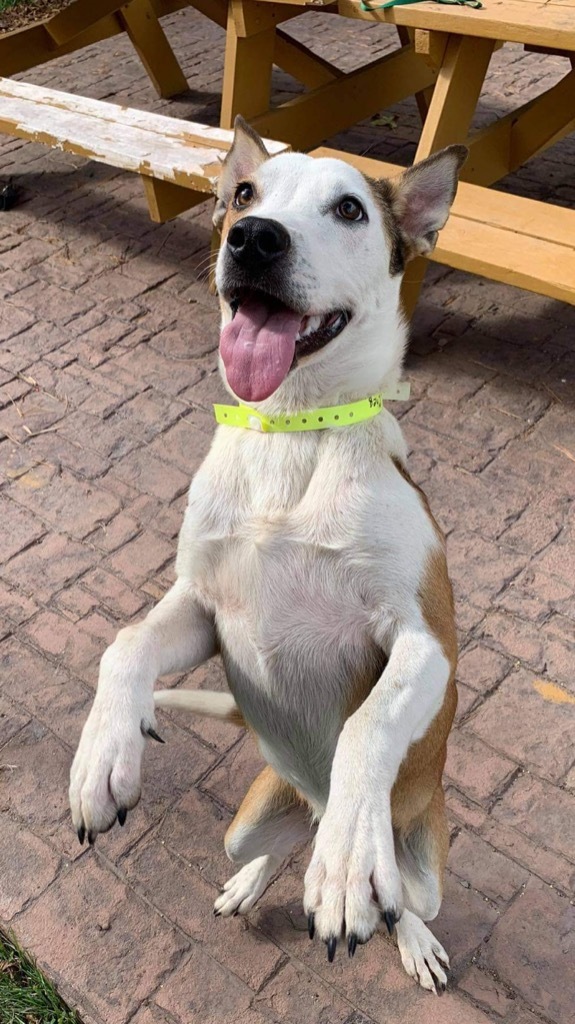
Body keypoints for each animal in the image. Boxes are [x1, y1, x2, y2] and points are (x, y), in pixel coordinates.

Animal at [70, 117, 466, 991]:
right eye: (244, 195)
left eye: (349, 208)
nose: (252, 238)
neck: (291, 431)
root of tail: (304, 800)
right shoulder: (201, 605)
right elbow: (124, 645)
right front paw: (101, 757)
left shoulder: (426, 641)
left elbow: (368, 724)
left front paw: (349, 863)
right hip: (247, 821)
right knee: (277, 849)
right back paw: (254, 880)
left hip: (426, 866)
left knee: (403, 902)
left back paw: (393, 916)